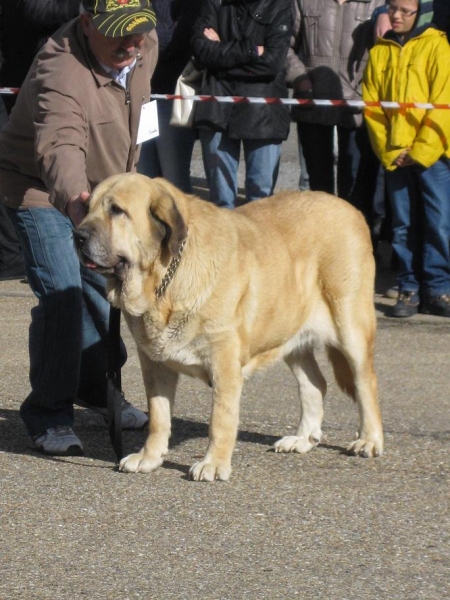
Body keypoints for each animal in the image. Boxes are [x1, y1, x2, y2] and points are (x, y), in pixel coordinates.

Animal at [74, 171, 384, 480]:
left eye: (117, 210)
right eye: (87, 208)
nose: (77, 235)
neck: (166, 281)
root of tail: (351, 209)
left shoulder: (223, 362)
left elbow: (220, 419)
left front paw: (213, 464)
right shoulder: (154, 366)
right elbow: (158, 417)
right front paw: (149, 458)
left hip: (350, 327)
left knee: (365, 382)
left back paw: (369, 440)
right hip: (291, 336)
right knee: (315, 384)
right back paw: (302, 439)